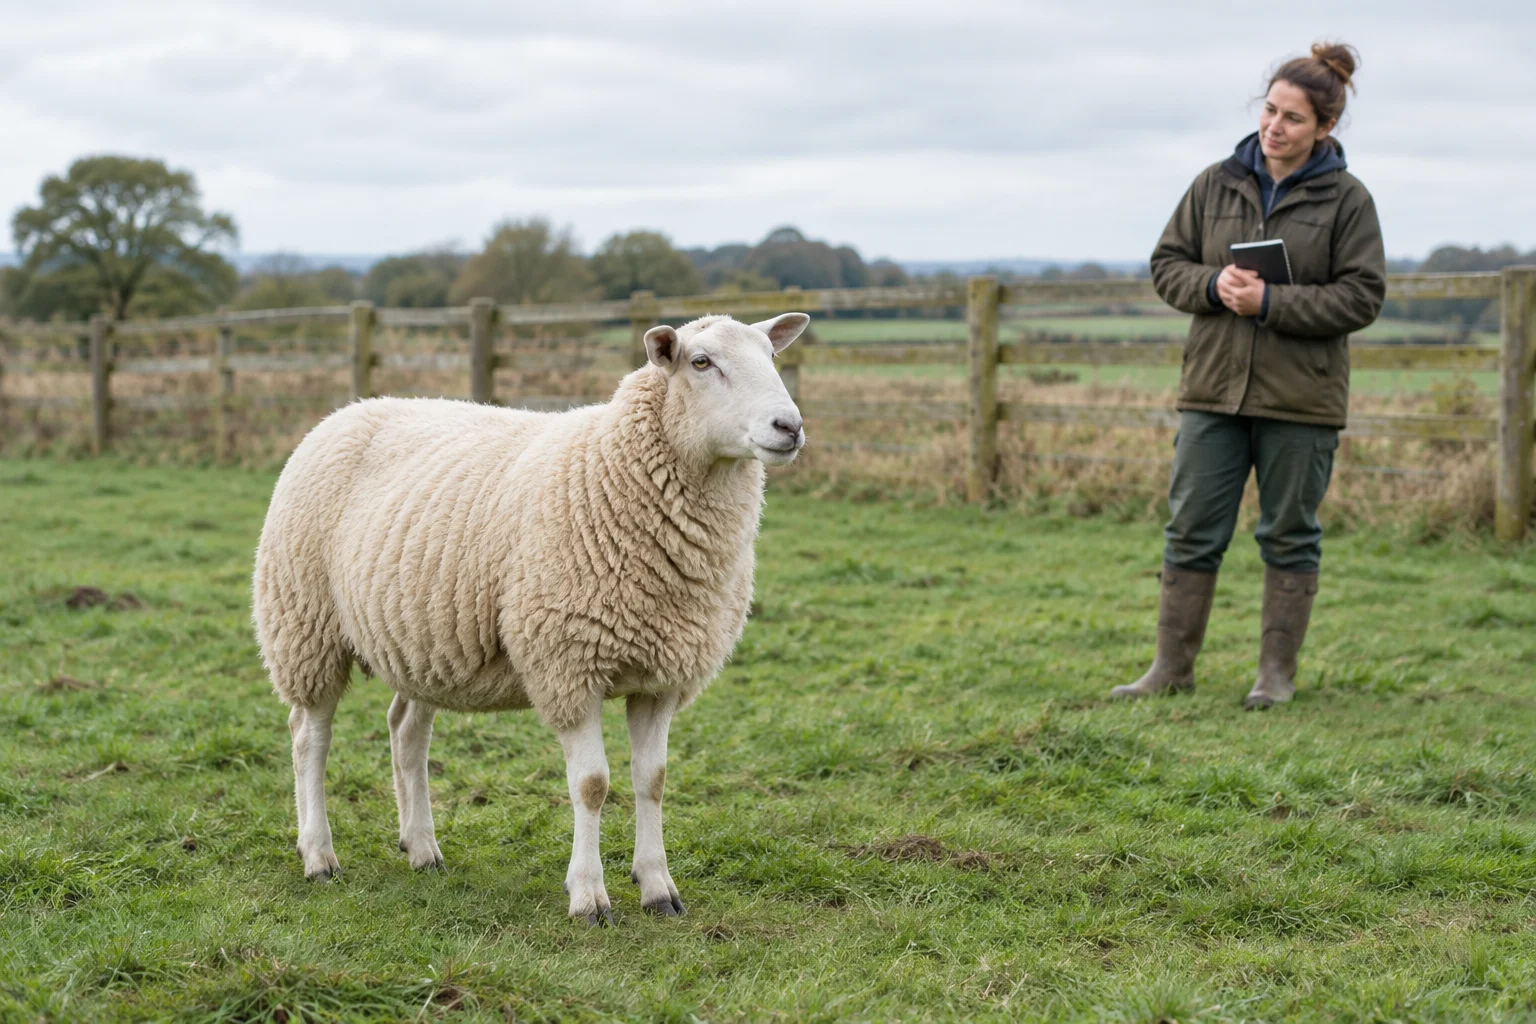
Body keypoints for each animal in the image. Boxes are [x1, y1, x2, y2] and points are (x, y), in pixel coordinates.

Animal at [252, 311, 809, 924]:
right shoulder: (568, 665)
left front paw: (658, 887)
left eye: (771, 356)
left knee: (406, 733)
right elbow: (592, 785)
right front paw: (589, 897)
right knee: (310, 737)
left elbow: (653, 781)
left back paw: (421, 848)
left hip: (424, 639)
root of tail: (349, 409)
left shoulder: (663, 674)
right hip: (304, 624)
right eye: (701, 362)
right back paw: (318, 855)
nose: (789, 426)